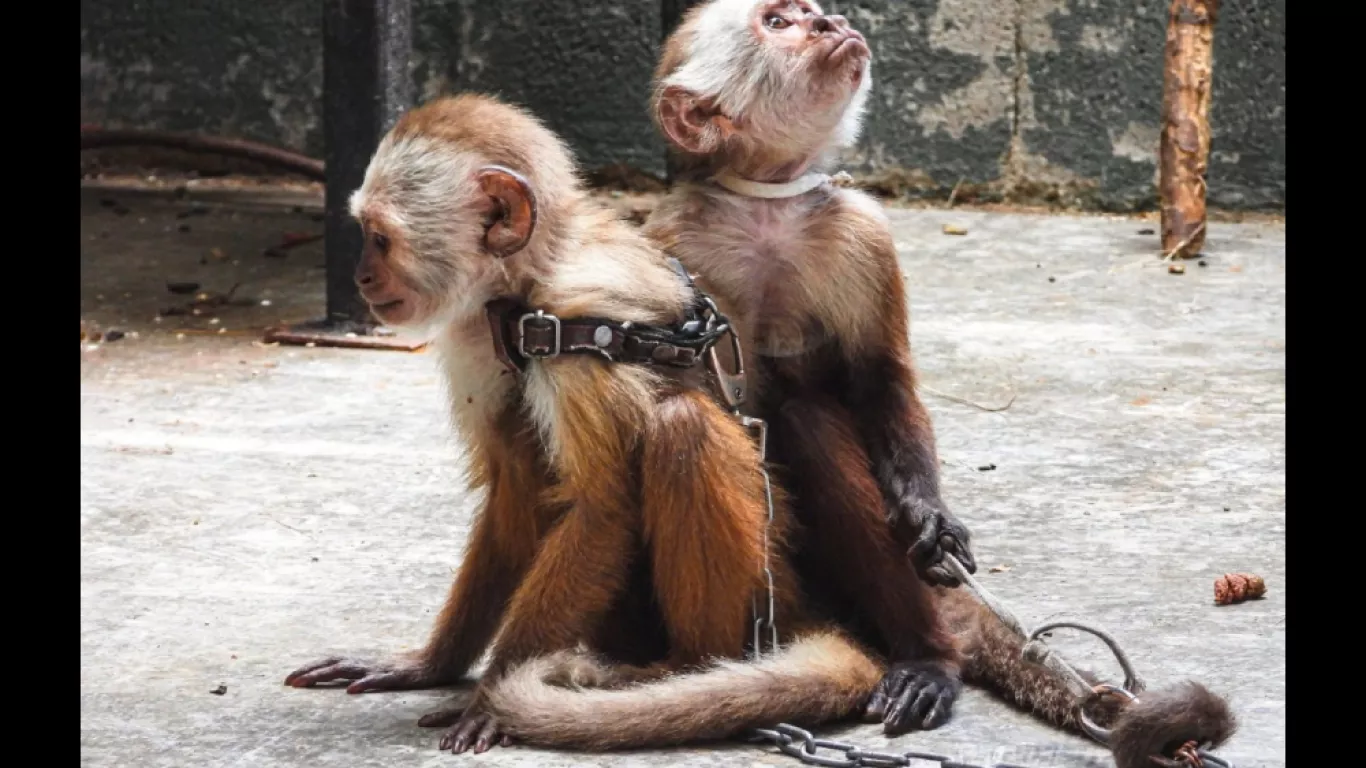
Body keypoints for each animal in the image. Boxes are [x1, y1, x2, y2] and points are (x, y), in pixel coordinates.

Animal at [281, 93, 891, 755]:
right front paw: (432, 665)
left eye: (380, 240)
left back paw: (691, 664)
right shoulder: (473, 333)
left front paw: (490, 695)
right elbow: (507, 495)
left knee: (680, 428)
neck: (523, 292)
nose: (362, 277)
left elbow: (602, 509)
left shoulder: (580, 324)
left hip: (769, 569)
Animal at [642, 3, 1239, 761]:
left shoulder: (862, 231)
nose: (828, 21)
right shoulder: (670, 242)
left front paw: (930, 513)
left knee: (811, 419)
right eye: (778, 22)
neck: (767, 209)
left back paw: (928, 658)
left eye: (809, 11)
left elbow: (882, 384)